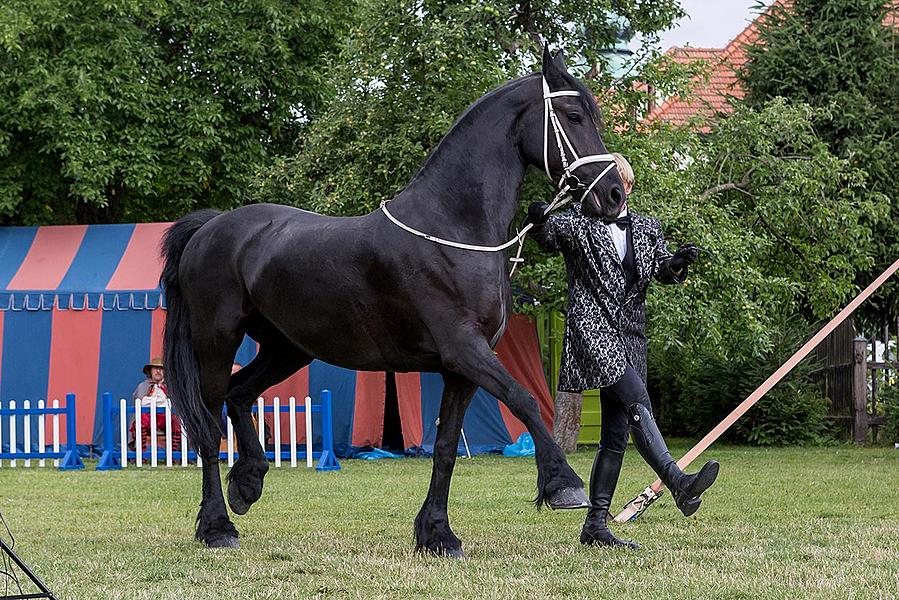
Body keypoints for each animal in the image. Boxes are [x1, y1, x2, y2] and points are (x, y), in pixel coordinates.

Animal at [162, 48, 624, 556]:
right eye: (575, 116)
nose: (614, 194)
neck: (452, 229)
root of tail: (210, 228)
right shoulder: (465, 351)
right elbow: (524, 400)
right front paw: (563, 484)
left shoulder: (461, 369)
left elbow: (445, 448)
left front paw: (437, 533)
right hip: (217, 342)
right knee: (209, 425)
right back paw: (217, 526)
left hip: (288, 348)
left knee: (240, 393)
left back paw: (249, 482)